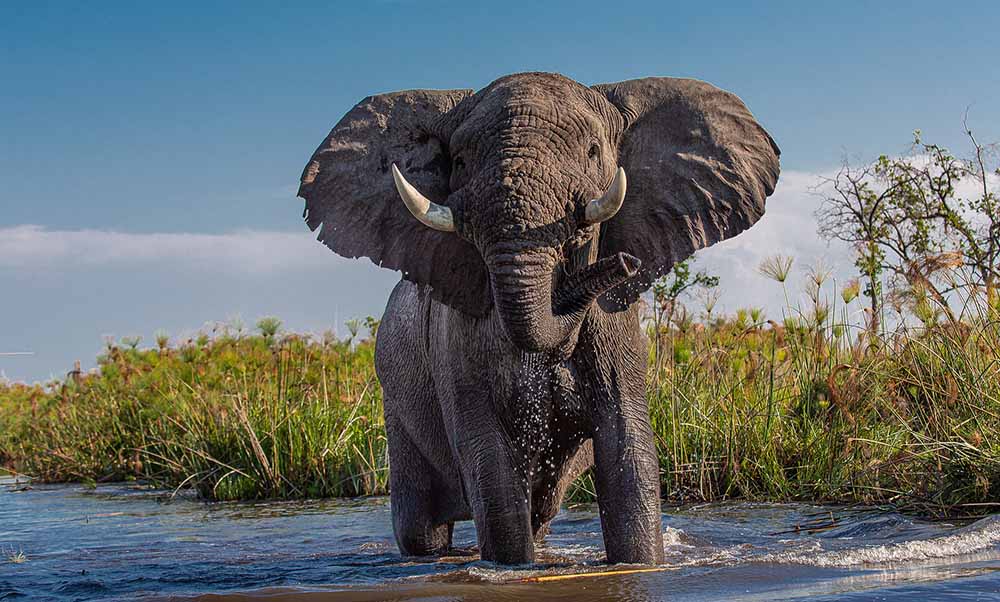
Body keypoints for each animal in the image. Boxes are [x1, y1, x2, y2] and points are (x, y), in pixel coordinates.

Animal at [296, 70, 780, 564]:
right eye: (460, 161)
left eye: (593, 151)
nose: (624, 263)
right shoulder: (456, 342)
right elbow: (490, 463)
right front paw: (510, 569)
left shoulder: (617, 331)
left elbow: (628, 450)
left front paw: (641, 564)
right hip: (396, 399)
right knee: (422, 528)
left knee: (540, 514)